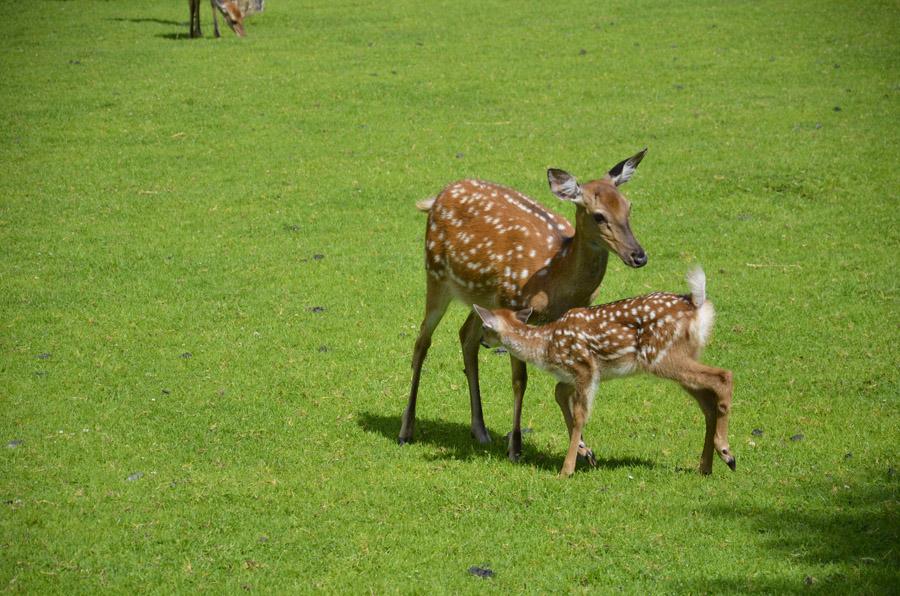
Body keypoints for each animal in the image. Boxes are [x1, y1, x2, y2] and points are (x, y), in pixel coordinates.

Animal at [400, 147, 648, 464]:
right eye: (598, 215)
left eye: (628, 207)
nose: (639, 255)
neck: (555, 276)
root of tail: (437, 197)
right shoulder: (515, 304)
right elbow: (520, 380)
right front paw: (515, 446)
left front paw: (584, 448)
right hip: (436, 275)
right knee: (422, 341)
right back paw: (406, 429)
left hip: (481, 296)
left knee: (466, 336)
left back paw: (480, 430)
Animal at [474, 268, 736, 478]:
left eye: (485, 328)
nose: (482, 342)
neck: (546, 346)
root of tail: (696, 303)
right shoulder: (571, 376)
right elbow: (559, 395)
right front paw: (586, 452)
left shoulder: (584, 368)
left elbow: (580, 414)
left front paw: (566, 470)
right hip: (682, 356)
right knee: (707, 402)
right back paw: (707, 466)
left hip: (661, 356)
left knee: (724, 376)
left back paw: (726, 452)